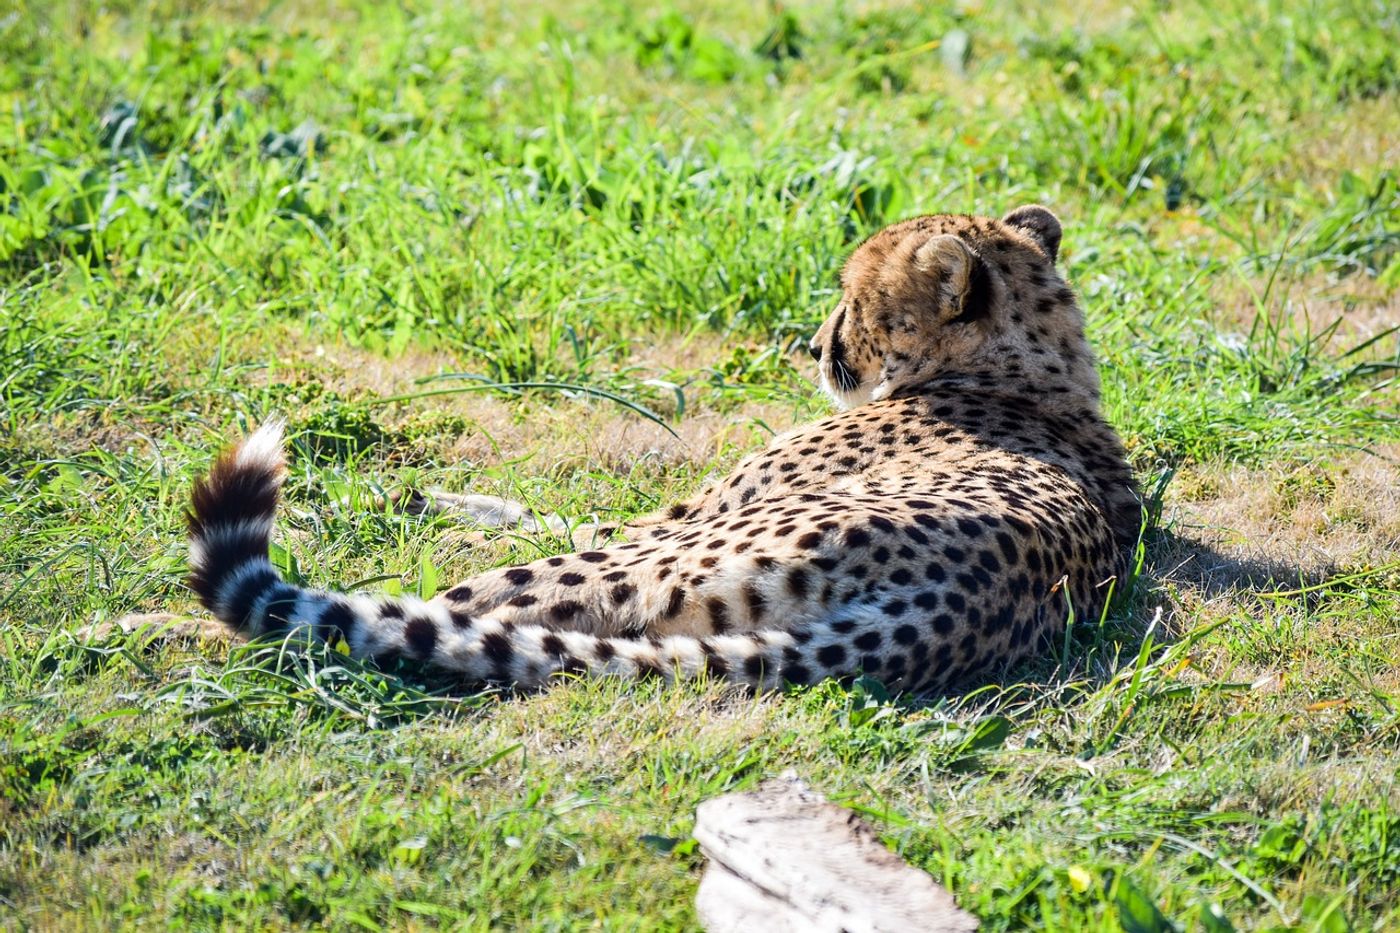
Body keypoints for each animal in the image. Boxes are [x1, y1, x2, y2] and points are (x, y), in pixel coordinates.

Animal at [189, 207, 1148, 694]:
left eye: (853, 297)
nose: (813, 343)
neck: (1026, 369)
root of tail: (945, 613)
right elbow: (537, 503)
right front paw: (403, 497)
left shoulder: (675, 520)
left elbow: (561, 518)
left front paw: (372, 503)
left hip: (648, 568)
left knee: (440, 609)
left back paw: (166, 628)